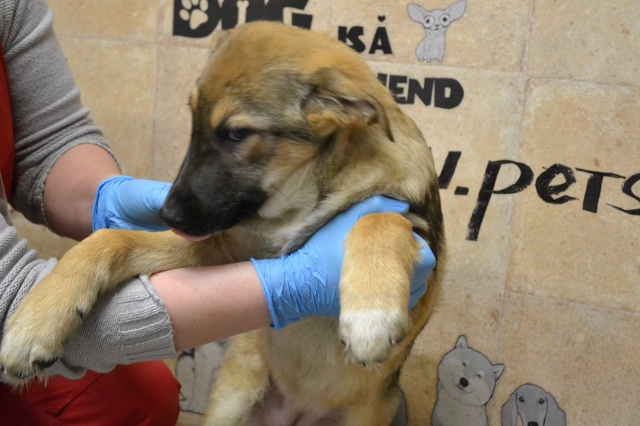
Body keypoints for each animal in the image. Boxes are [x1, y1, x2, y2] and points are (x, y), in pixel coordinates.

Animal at [0, 21, 445, 425]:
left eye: (236, 134)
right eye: (193, 121)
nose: (167, 216)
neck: (301, 196)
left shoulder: (418, 246)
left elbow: (378, 219)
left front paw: (371, 314)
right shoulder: (232, 247)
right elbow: (110, 238)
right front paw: (34, 321)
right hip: (233, 396)